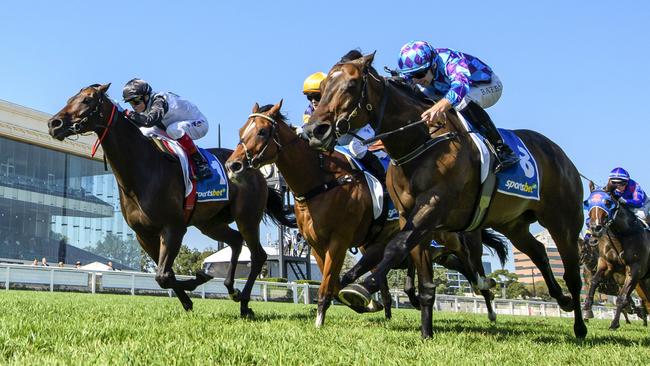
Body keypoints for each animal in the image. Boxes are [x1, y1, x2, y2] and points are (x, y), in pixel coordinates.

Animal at [48, 83, 294, 318]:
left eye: (87, 100)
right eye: (71, 98)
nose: (54, 123)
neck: (142, 168)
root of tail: (256, 170)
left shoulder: (173, 227)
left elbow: (163, 275)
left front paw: (196, 282)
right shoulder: (144, 234)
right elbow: (165, 274)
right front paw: (191, 294)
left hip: (246, 217)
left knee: (258, 255)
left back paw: (244, 303)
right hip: (209, 223)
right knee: (235, 241)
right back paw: (231, 288)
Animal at [223, 102, 506, 326]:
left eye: (262, 131)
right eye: (240, 131)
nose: (233, 165)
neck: (321, 182)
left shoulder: (339, 240)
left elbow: (329, 283)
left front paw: (321, 319)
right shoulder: (317, 244)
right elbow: (334, 281)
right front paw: (366, 302)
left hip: (449, 235)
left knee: (470, 261)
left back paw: (488, 296)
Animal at [302, 53, 584, 338]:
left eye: (351, 85)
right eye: (322, 88)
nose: (315, 130)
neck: (420, 141)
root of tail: (559, 154)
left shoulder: (433, 205)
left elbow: (396, 247)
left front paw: (361, 288)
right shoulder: (409, 216)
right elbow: (423, 279)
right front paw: (426, 334)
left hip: (563, 221)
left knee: (572, 273)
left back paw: (580, 325)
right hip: (513, 223)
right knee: (538, 251)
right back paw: (562, 300)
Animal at [584, 186, 648, 328]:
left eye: (608, 202)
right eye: (587, 203)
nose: (595, 228)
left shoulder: (635, 269)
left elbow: (622, 297)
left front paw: (614, 323)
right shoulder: (606, 263)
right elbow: (594, 281)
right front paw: (587, 308)